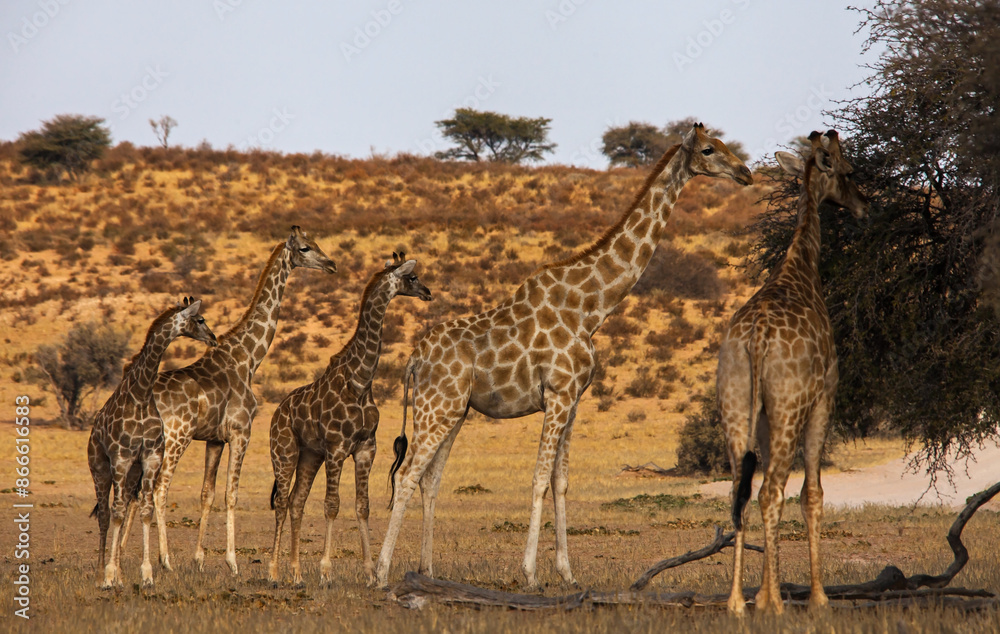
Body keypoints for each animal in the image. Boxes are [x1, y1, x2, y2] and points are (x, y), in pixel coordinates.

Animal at [88, 297, 217, 588]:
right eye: (200, 319)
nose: (213, 338)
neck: (141, 395)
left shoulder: (149, 459)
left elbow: (145, 511)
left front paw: (145, 574)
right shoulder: (121, 459)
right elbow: (116, 513)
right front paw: (109, 575)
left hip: (131, 472)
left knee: (122, 507)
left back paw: (120, 574)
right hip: (100, 467)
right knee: (105, 514)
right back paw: (101, 573)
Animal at [150, 226, 337, 575]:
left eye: (318, 243)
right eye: (305, 248)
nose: (331, 264)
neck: (248, 358)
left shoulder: (214, 439)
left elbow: (207, 493)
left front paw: (199, 560)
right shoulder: (241, 432)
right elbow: (231, 494)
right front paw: (232, 562)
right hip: (176, 438)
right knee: (159, 488)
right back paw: (164, 561)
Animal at [267, 253, 431, 586]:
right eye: (412, 277)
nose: (428, 292)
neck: (361, 380)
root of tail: (276, 414)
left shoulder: (366, 448)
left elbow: (362, 506)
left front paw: (370, 574)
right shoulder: (337, 448)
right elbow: (332, 505)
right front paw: (326, 572)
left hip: (309, 455)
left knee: (296, 502)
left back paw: (297, 574)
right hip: (284, 452)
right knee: (281, 503)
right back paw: (274, 573)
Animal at [374, 124, 753, 589]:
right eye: (709, 149)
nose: (746, 172)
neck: (590, 309)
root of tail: (413, 358)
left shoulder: (573, 400)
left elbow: (561, 481)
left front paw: (568, 574)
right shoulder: (556, 395)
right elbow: (539, 479)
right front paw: (530, 574)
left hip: (454, 411)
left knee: (430, 479)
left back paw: (427, 572)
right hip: (437, 408)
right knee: (408, 475)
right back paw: (380, 574)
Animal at [718, 131, 869, 614]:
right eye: (848, 171)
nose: (863, 205)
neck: (801, 268)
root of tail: (756, 340)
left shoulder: (763, 416)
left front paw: (763, 593)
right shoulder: (824, 399)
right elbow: (812, 494)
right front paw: (816, 597)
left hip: (735, 407)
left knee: (741, 491)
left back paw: (736, 602)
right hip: (788, 408)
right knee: (770, 491)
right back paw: (775, 606)